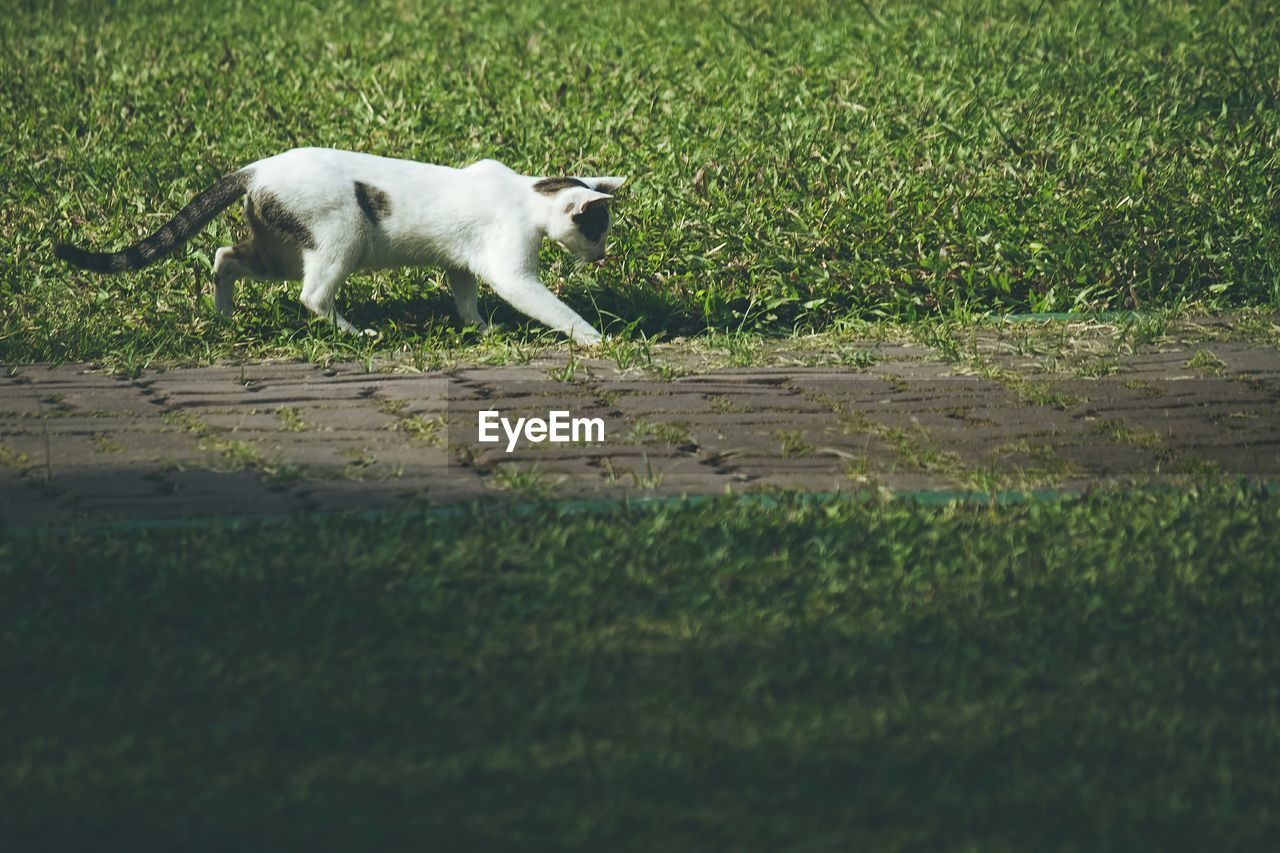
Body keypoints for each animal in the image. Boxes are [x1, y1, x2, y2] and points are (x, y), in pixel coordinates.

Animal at [55, 146, 624, 343]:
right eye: (597, 231)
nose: (601, 256)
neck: (527, 193)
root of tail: (255, 168)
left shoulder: (461, 262)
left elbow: (465, 296)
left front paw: (477, 327)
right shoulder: (510, 269)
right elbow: (550, 307)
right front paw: (595, 339)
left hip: (279, 251)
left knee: (225, 257)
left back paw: (223, 315)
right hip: (339, 240)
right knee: (311, 296)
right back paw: (356, 333)